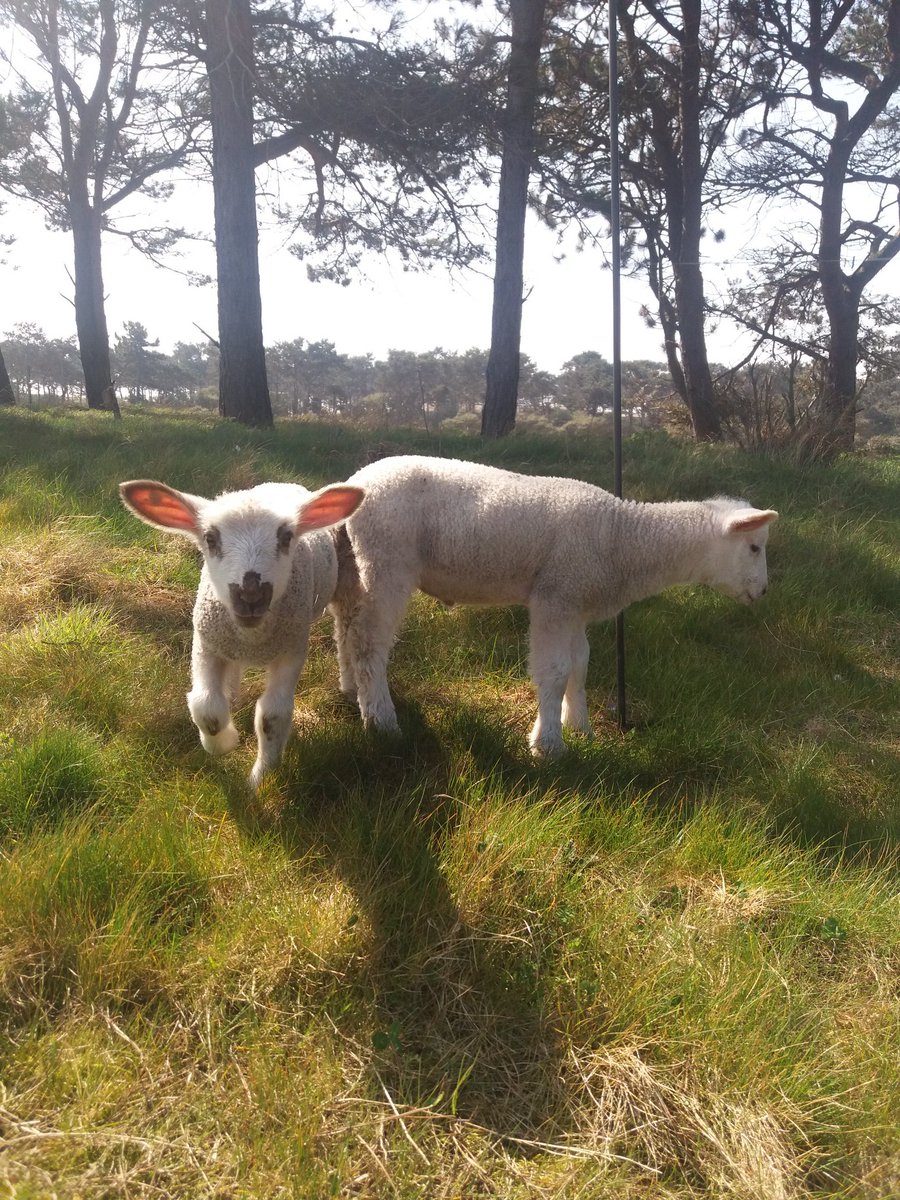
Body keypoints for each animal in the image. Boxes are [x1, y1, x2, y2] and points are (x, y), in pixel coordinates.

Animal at [119, 478, 364, 789]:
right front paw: (223, 743)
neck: (253, 640)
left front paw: (261, 777)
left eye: (286, 537)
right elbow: (206, 707)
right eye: (210, 538)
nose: (251, 595)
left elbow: (273, 717)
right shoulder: (206, 643)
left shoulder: (292, 649)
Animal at [331, 455, 778, 756]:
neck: (623, 539)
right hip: (387, 561)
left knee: (346, 629)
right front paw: (548, 744)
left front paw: (579, 727)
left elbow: (580, 665)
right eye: (755, 547)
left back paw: (352, 692)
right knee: (369, 643)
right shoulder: (555, 597)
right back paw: (382, 722)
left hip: (353, 566)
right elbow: (555, 670)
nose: (764, 592)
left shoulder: (575, 600)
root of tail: (357, 481)